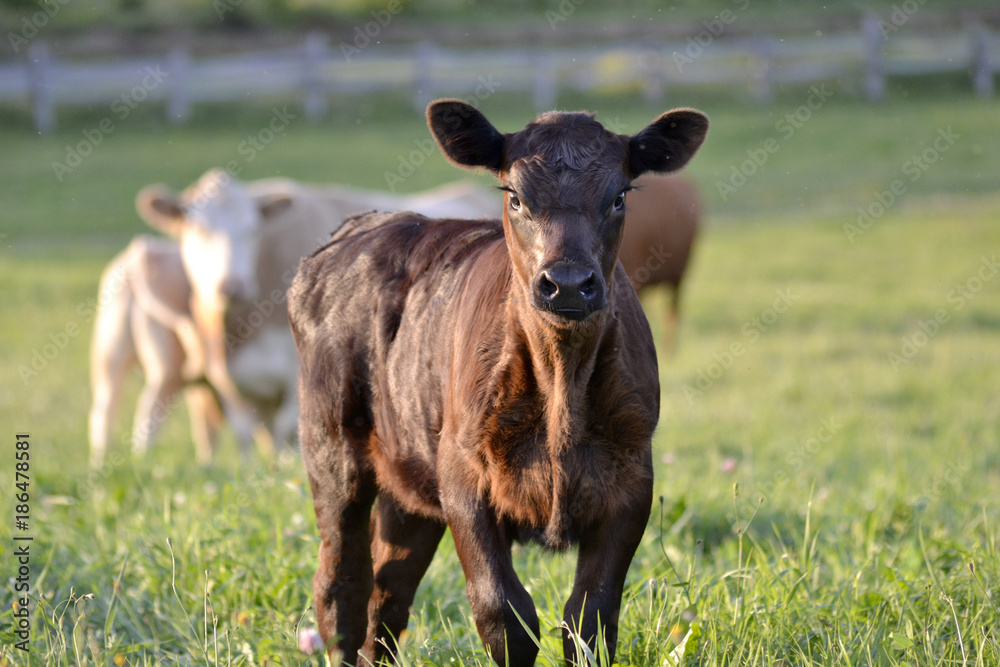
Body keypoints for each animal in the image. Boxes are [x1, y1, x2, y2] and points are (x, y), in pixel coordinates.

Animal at [129, 169, 498, 459]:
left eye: (252, 229)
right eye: (197, 228)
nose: (231, 286)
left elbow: (285, 433)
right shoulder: (229, 379)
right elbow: (247, 435)